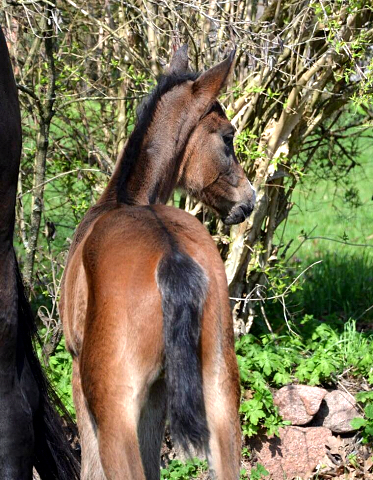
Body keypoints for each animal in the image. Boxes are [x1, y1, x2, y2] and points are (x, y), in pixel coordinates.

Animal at [60, 46, 256, 480]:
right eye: (228, 137)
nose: (249, 201)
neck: (123, 200)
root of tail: (170, 255)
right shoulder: (160, 393)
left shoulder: (81, 376)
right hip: (220, 399)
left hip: (114, 413)